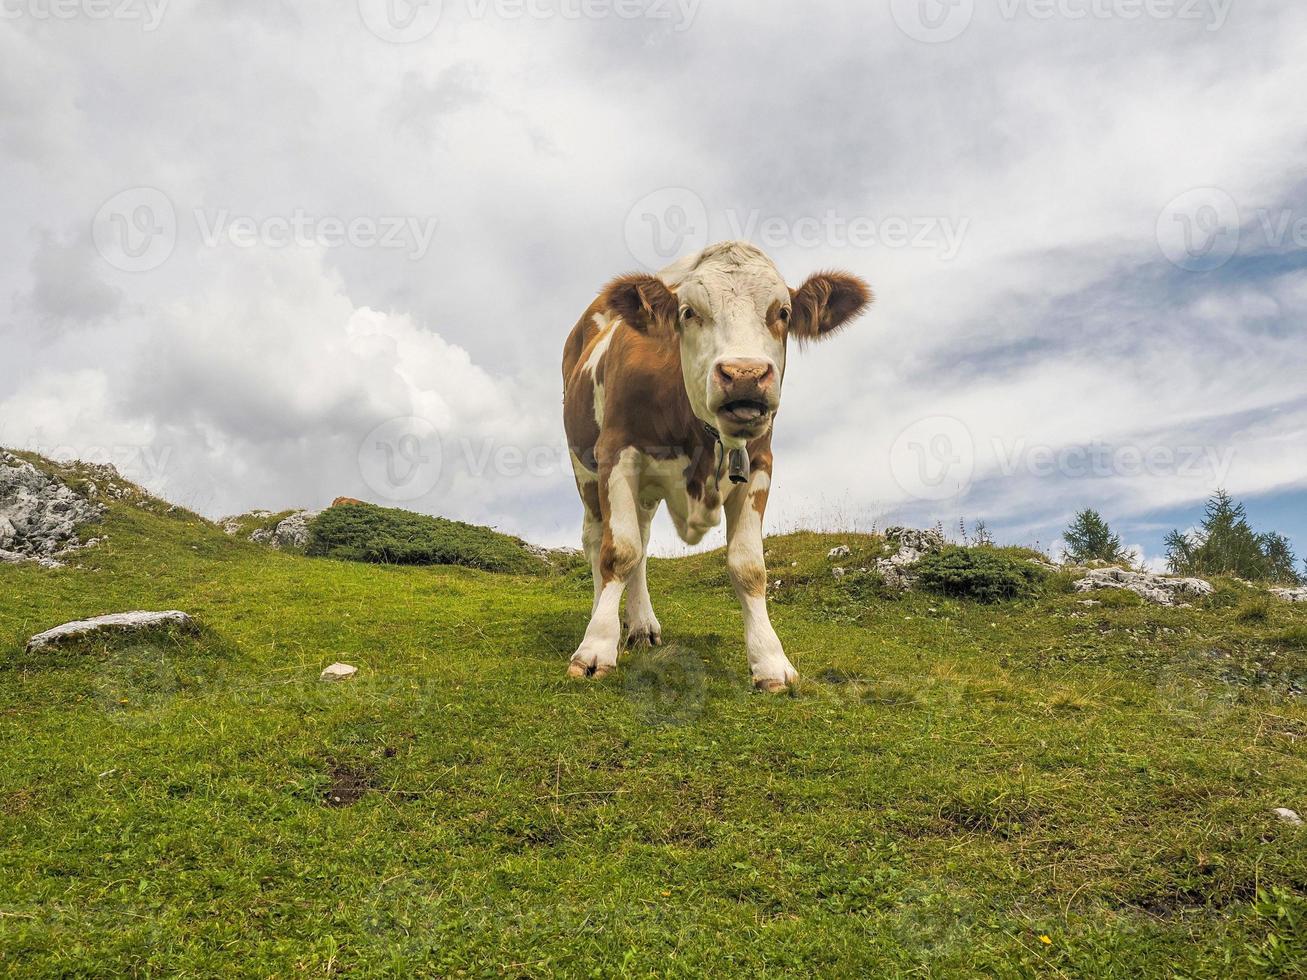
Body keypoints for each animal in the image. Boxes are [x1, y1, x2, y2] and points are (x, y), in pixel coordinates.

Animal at [559, 243, 873, 695]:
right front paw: (596, 649)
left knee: (643, 542)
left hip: (646, 493)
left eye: (782, 312)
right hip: (585, 469)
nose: (744, 374)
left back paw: (641, 625)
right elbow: (618, 552)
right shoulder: (617, 454)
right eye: (688, 312)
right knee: (597, 539)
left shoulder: (759, 465)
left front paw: (770, 660)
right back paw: (606, 618)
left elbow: (748, 566)